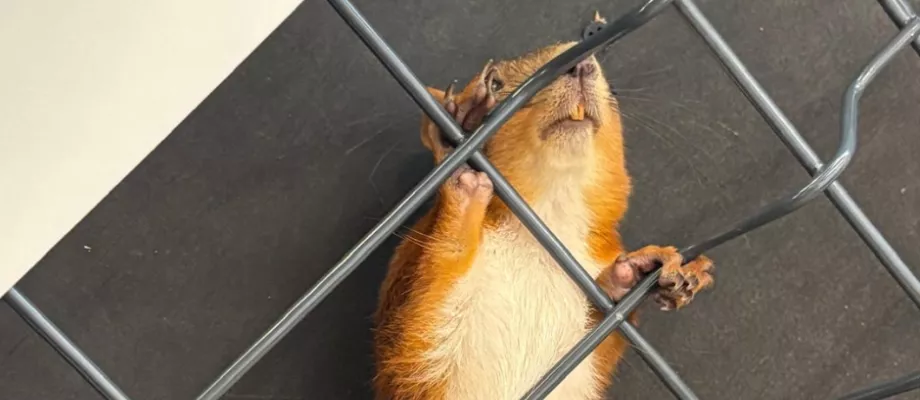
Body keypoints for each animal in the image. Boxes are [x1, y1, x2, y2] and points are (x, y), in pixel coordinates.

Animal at [372, 21, 715, 400]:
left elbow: (605, 337)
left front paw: (643, 270)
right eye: (495, 83)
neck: (550, 209)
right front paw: (460, 148)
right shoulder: (410, 314)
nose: (582, 64)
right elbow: (420, 316)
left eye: (613, 93)